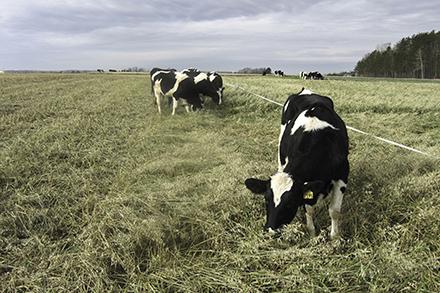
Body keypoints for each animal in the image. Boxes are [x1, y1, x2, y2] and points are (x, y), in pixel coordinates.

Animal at [244, 86, 350, 237]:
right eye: (266, 199)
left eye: (290, 203)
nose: (271, 230)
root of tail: (306, 91)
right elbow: (309, 209)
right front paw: (312, 232)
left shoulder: (342, 174)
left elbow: (334, 211)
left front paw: (334, 237)